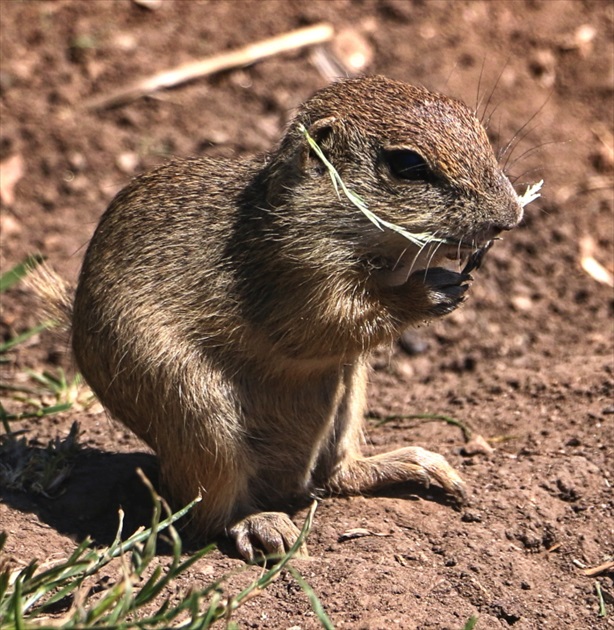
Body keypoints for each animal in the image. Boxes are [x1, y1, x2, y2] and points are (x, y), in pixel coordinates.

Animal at [36, 75, 524, 564]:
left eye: (479, 128)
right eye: (407, 165)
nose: (510, 217)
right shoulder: (294, 277)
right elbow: (324, 324)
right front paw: (431, 290)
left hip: (349, 392)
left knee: (337, 475)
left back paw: (412, 464)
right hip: (198, 414)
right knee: (208, 513)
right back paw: (260, 524)